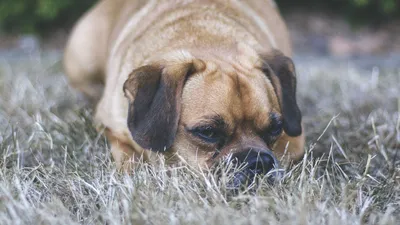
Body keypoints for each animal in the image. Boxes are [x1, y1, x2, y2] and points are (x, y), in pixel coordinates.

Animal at [64, 0, 304, 185]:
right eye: (208, 132)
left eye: (276, 128)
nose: (258, 162)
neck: (206, 38)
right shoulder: (110, 126)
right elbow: (129, 157)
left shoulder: (293, 142)